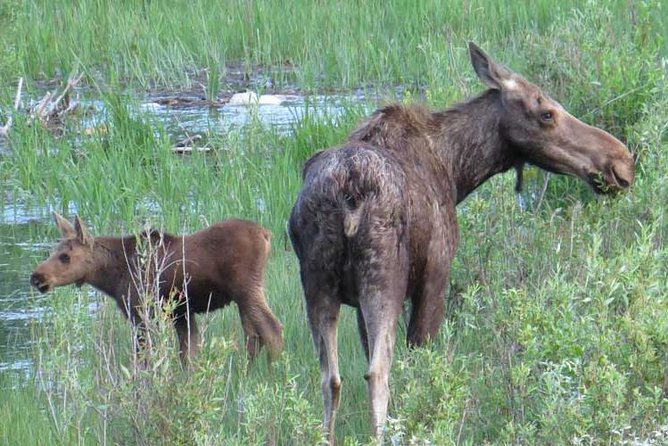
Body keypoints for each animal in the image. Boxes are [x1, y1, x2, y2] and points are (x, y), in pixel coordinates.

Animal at [32, 214, 284, 364]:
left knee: (271, 329)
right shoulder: (182, 312)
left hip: (246, 288)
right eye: (53, 251)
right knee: (254, 335)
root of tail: (267, 234)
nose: (36, 277)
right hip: (247, 293)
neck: (110, 277)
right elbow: (189, 355)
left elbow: (145, 359)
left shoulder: (141, 313)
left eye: (65, 257)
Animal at [290, 42, 636, 442]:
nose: (621, 162)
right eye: (546, 113)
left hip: (317, 283)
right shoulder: (434, 279)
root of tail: (347, 195)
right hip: (382, 280)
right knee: (377, 373)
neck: (457, 171)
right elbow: (420, 365)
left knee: (331, 379)